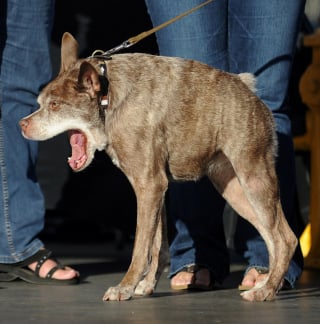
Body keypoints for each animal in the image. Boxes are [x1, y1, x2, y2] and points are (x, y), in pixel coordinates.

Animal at [19, 32, 298, 302]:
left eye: (55, 105)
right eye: (40, 103)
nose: (22, 124)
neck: (108, 98)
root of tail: (250, 91)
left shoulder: (149, 185)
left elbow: (140, 248)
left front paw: (124, 288)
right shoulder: (156, 188)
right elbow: (157, 244)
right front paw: (146, 285)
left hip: (253, 178)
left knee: (286, 239)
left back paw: (265, 290)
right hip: (234, 190)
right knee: (272, 237)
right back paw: (267, 283)